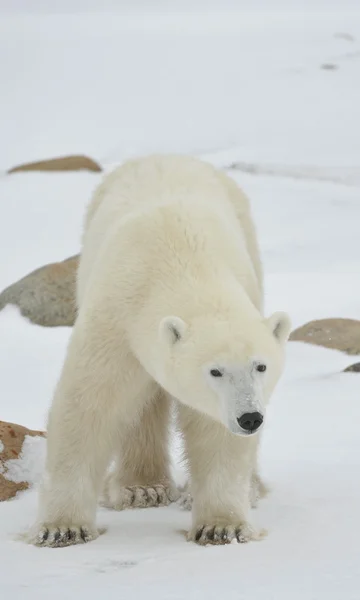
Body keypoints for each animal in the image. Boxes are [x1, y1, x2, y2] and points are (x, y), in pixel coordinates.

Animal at [27, 155, 290, 548]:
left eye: (260, 366)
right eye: (215, 371)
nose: (250, 418)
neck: (180, 263)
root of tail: (165, 156)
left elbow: (214, 429)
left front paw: (221, 526)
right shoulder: (115, 320)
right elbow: (89, 407)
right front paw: (62, 528)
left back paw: (247, 488)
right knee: (141, 406)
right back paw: (141, 488)